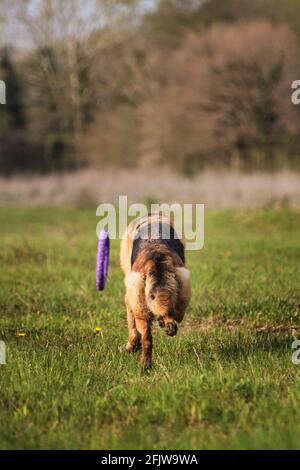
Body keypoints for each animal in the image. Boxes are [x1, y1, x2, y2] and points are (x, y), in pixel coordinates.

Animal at [120, 211, 192, 370]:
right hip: (182, 290)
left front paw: (131, 347)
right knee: (170, 317)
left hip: (139, 305)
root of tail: (157, 257)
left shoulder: (130, 301)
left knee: (147, 336)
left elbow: (132, 326)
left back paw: (144, 365)